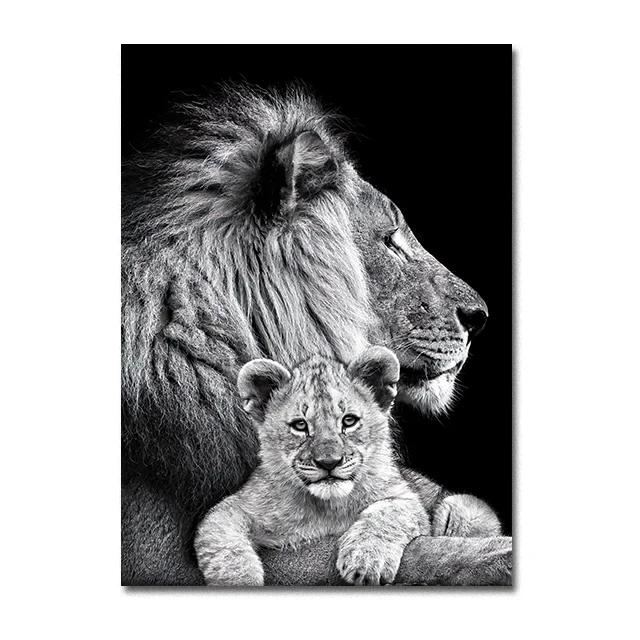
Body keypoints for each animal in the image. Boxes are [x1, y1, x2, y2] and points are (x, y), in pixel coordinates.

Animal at [196, 347, 500, 586]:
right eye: (300, 426)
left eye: (349, 421)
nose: (329, 462)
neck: (324, 508)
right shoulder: (234, 507)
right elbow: (221, 541)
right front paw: (238, 580)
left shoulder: (406, 498)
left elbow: (387, 513)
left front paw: (365, 562)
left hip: (462, 507)